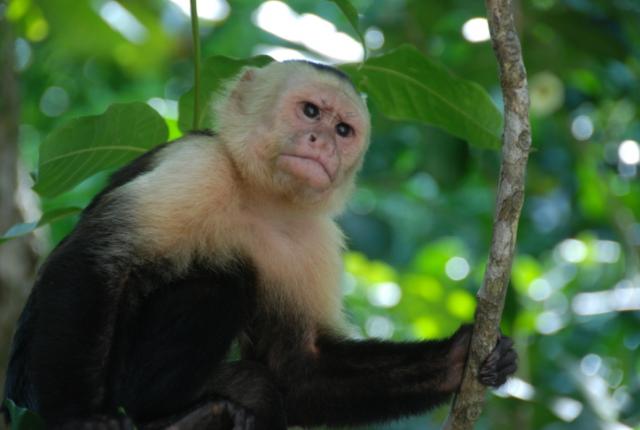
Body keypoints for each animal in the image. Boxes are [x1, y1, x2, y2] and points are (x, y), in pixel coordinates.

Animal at [3, 60, 517, 429]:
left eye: (343, 130)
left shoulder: (315, 240)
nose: (321, 141)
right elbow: (94, 263)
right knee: (221, 281)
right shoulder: (197, 166)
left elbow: (299, 369)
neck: (260, 197)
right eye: (310, 112)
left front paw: (456, 359)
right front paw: (81, 418)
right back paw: (165, 407)